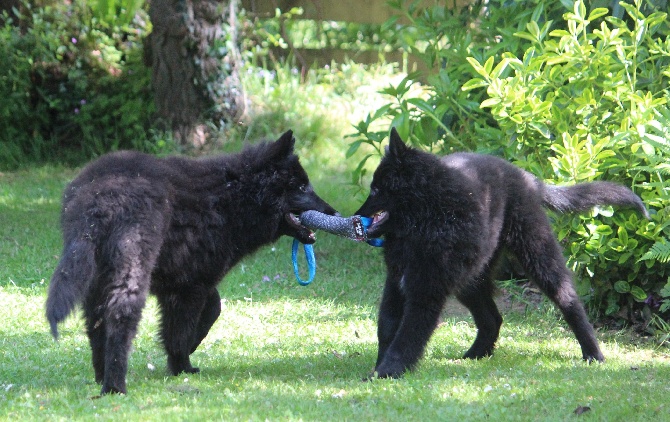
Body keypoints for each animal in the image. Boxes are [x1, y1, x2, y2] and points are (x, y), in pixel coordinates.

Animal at [45, 130, 338, 394]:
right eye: (301, 187)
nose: (335, 214)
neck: (232, 197)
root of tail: (97, 196)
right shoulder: (190, 287)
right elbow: (183, 330)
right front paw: (182, 366)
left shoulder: (184, 282)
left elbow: (210, 310)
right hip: (131, 266)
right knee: (120, 315)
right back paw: (115, 386)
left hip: (95, 278)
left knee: (96, 325)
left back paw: (100, 374)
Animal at [356, 129, 652, 380]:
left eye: (376, 189)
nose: (356, 215)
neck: (427, 217)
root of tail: (526, 177)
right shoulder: (397, 281)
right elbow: (387, 326)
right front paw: (379, 367)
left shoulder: (426, 291)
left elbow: (407, 336)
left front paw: (386, 372)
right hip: (471, 277)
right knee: (492, 318)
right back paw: (476, 355)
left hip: (537, 254)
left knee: (568, 301)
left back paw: (593, 354)